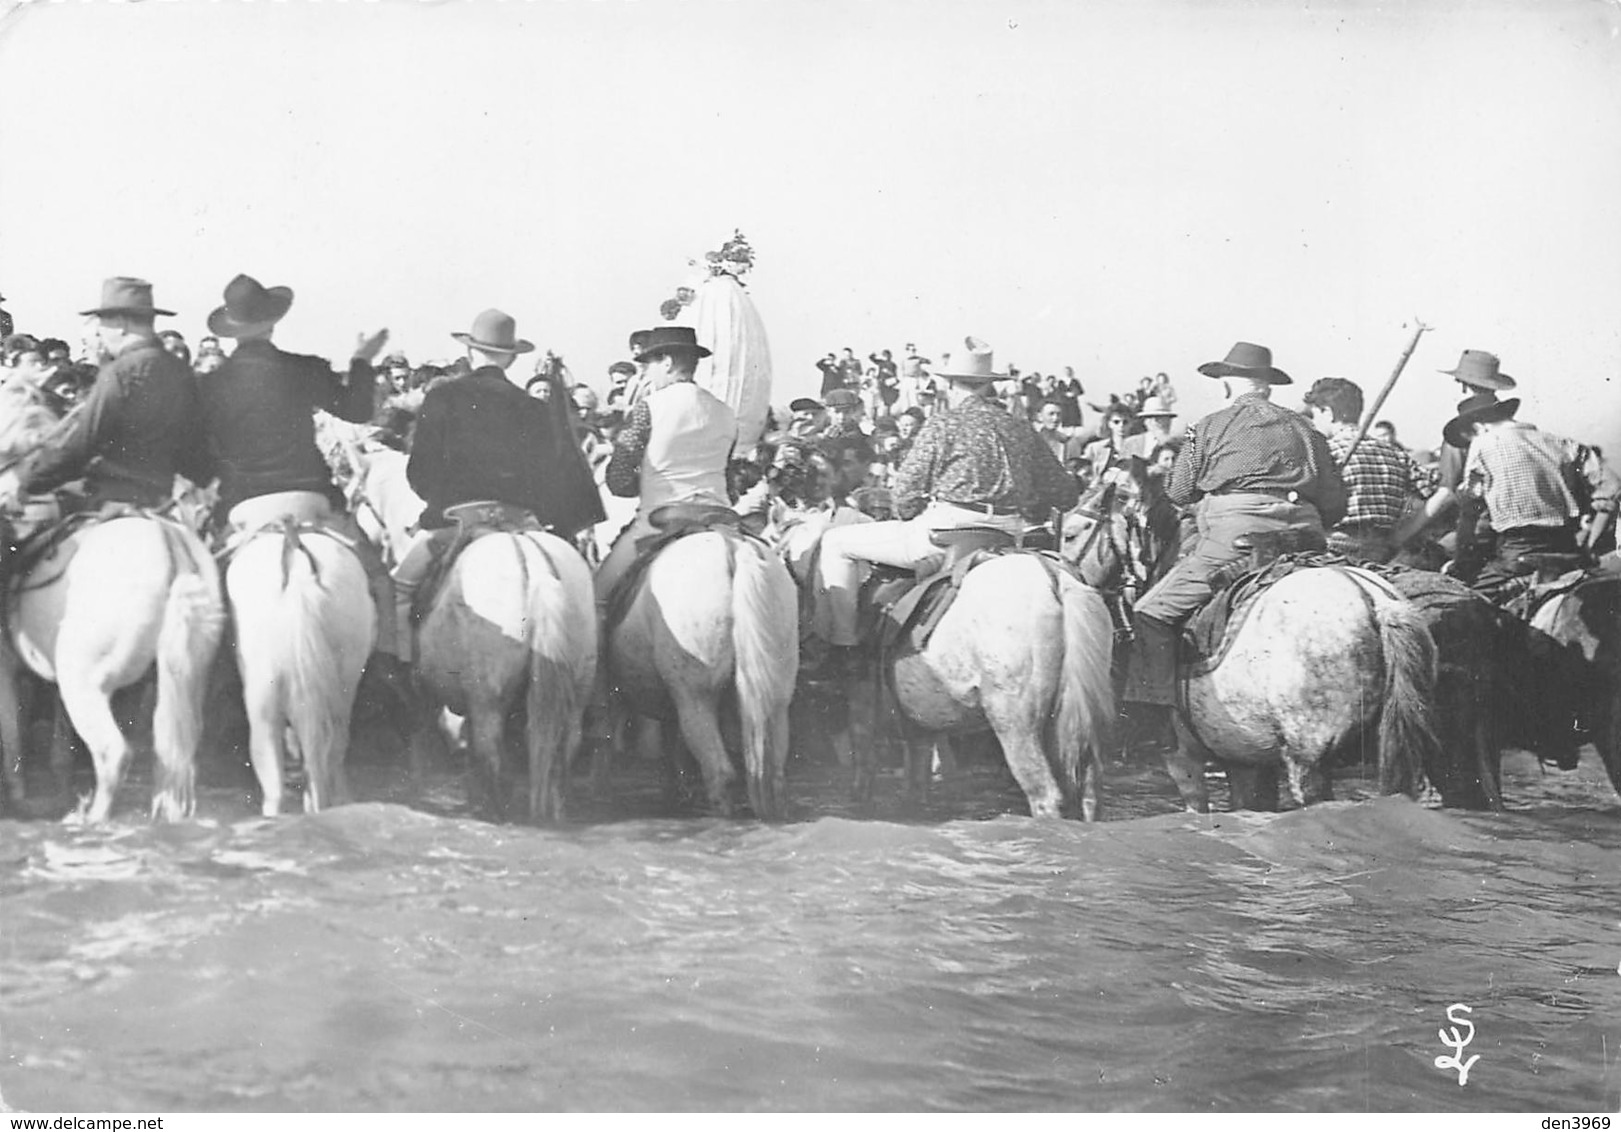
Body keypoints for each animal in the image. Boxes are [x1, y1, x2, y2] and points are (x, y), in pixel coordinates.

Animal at [0, 512, 225, 820]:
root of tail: (166, 535)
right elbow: (59, 749)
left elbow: (12, 741)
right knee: (174, 755)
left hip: (81, 683)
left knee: (113, 752)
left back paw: (94, 817)